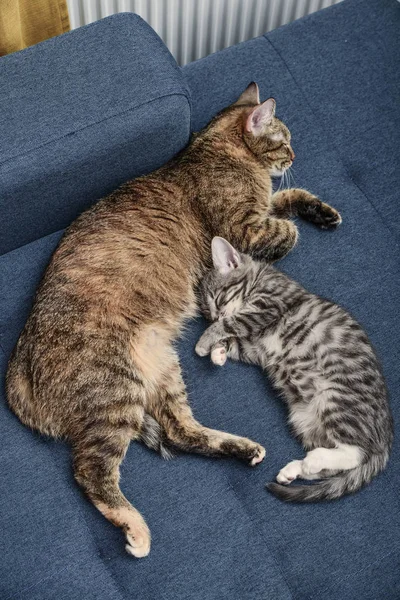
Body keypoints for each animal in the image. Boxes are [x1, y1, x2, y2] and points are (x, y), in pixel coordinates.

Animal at [6, 82, 340, 556]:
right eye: (284, 139)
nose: (294, 156)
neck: (216, 149)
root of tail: (17, 371)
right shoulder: (245, 228)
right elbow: (284, 229)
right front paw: (293, 223)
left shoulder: (262, 208)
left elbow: (287, 198)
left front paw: (319, 210)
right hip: (115, 394)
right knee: (91, 471)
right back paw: (135, 529)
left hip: (161, 366)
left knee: (181, 432)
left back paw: (242, 449)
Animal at [195, 237, 392, 500]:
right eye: (208, 312)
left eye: (218, 300)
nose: (214, 317)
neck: (260, 278)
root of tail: (385, 439)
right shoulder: (253, 347)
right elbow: (234, 341)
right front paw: (218, 352)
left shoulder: (267, 305)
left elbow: (232, 322)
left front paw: (205, 342)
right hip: (303, 419)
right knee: (335, 465)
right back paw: (297, 468)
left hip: (335, 399)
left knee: (356, 453)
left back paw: (311, 460)